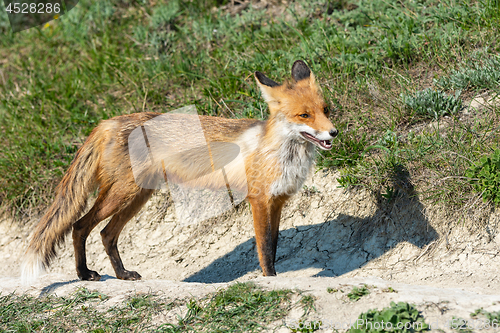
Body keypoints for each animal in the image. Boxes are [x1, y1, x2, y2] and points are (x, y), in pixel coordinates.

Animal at [21, 61, 338, 282]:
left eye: (326, 110)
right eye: (304, 115)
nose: (333, 132)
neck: (281, 154)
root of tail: (107, 122)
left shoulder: (278, 201)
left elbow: (273, 244)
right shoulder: (259, 200)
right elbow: (264, 251)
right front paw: (269, 280)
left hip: (137, 197)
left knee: (106, 234)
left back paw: (122, 275)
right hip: (122, 194)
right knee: (79, 226)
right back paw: (84, 274)